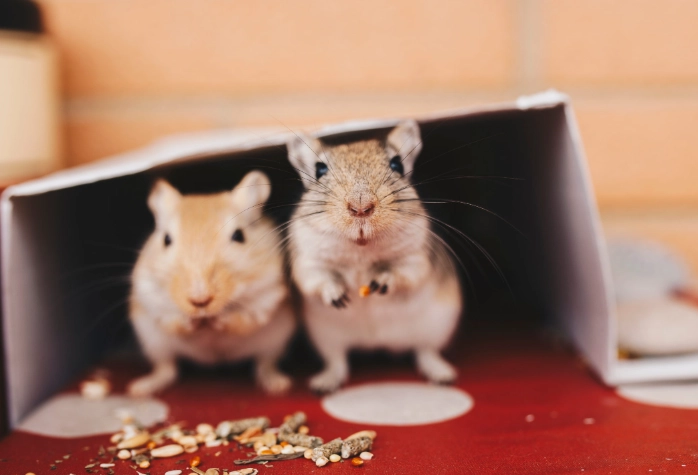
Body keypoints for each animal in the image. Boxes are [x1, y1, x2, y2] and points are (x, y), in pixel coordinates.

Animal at [127, 171, 295, 396]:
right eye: (166, 240)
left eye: (239, 236)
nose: (200, 301)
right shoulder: (150, 296)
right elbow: (174, 321)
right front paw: (195, 321)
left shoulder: (268, 295)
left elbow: (242, 320)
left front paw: (216, 320)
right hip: (154, 343)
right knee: (167, 368)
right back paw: (140, 388)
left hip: (275, 341)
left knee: (265, 363)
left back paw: (278, 385)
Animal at [287, 120, 462, 392]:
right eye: (319, 169)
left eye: (397, 164)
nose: (361, 208)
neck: (361, 249)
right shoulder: (308, 262)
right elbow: (319, 279)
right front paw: (339, 298)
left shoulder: (415, 258)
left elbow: (400, 272)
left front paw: (379, 284)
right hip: (326, 337)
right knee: (337, 360)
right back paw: (323, 383)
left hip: (437, 327)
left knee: (425, 351)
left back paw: (442, 375)